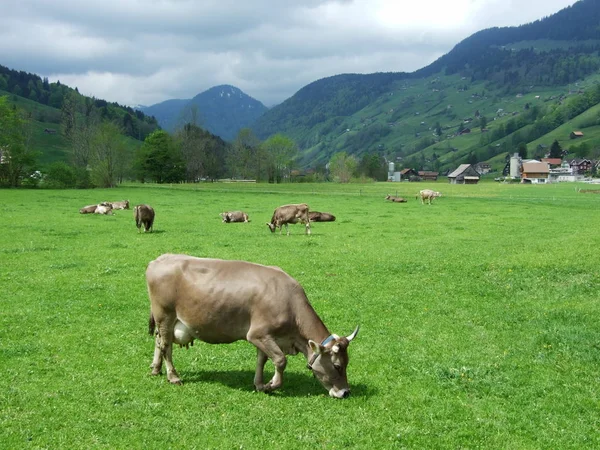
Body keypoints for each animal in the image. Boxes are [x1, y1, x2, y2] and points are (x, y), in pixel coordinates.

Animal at [146, 255, 360, 400]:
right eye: (337, 366)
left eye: (347, 363)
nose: (346, 392)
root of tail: (159, 259)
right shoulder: (258, 334)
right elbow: (280, 360)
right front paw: (271, 385)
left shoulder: (266, 338)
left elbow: (261, 360)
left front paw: (259, 384)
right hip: (165, 314)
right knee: (166, 345)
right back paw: (173, 376)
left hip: (164, 320)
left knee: (159, 341)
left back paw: (156, 369)